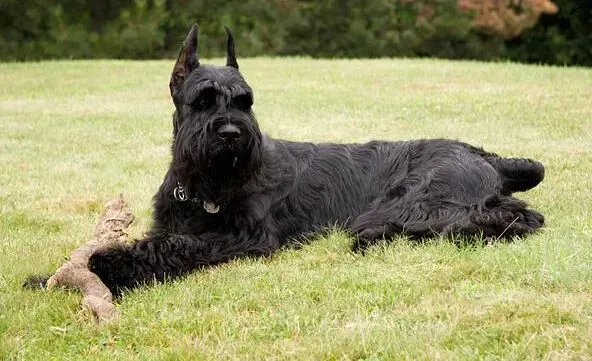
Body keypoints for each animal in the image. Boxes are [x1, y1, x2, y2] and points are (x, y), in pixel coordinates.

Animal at [84, 25, 544, 296]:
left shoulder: (247, 236)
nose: (232, 134)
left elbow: (180, 244)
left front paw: (112, 263)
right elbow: (169, 237)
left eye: (245, 102)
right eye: (202, 100)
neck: (203, 186)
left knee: (506, 218)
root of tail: (483, 155)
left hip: (412, 203)